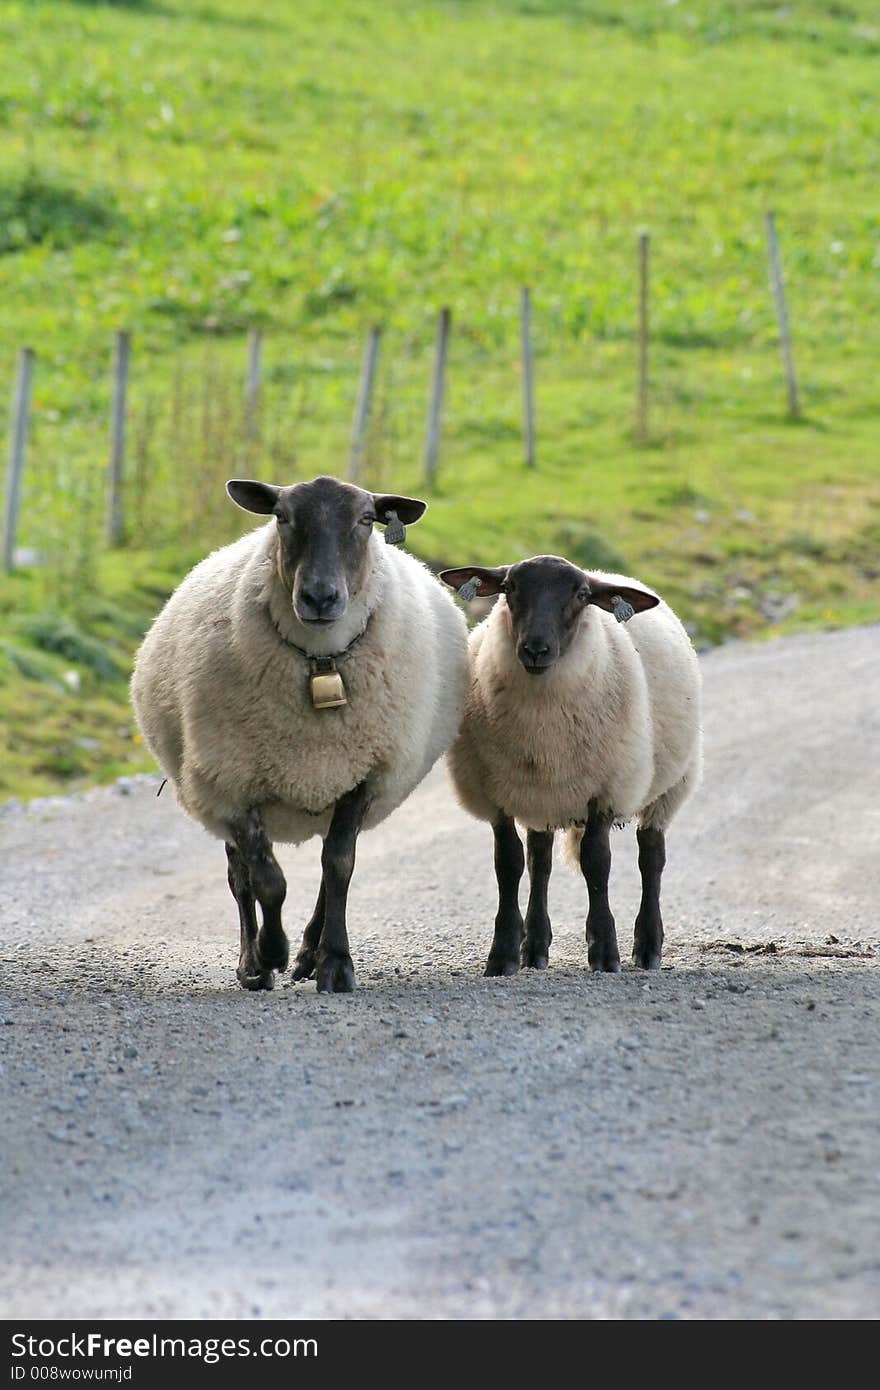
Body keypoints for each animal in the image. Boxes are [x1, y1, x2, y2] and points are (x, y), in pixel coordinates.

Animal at [129, 472, 467, 995]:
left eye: (366, 519)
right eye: (282, 517)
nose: (320, 597)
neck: (321, 663)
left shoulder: (364, 776)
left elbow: (339, 866)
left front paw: (336, 964)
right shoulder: (233, 783)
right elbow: (266, 880)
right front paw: (271, 952)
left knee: (330, 866)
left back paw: (310, 952)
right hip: (217, 786)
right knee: (240, 876)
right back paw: (254, 963)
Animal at [442, 556, 703, 978]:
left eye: (581, 596)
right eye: (510, 587)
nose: (535, 649)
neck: (542, 728)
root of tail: (608, 575)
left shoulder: (606, 789)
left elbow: (597, 863)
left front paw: (605, 953)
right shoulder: (493, 793)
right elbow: (508, 863)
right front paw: (503, 954)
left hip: (671, 784)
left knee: (651, 856)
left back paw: (647, 946)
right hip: (540, 795)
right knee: (540, 861)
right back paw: (534, 947)